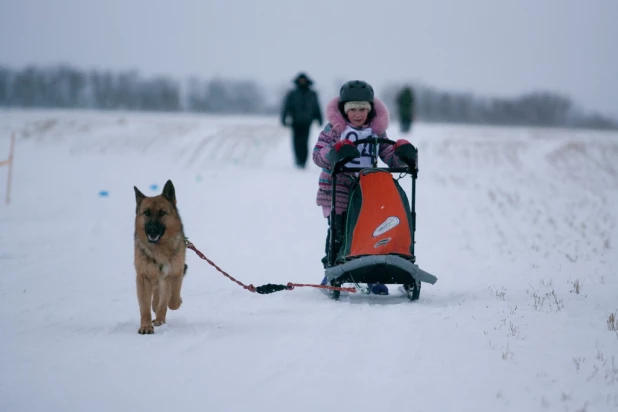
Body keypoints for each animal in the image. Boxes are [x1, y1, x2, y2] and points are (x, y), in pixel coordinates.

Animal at [132, 180, 185, 334]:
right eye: (146, 213)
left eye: (162, 213)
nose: (152, 230)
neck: (159, 249)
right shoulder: (144, 278)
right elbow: (144, 307)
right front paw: (145, 326)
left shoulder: (175, 273)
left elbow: (171, 300)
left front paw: (176, 302)